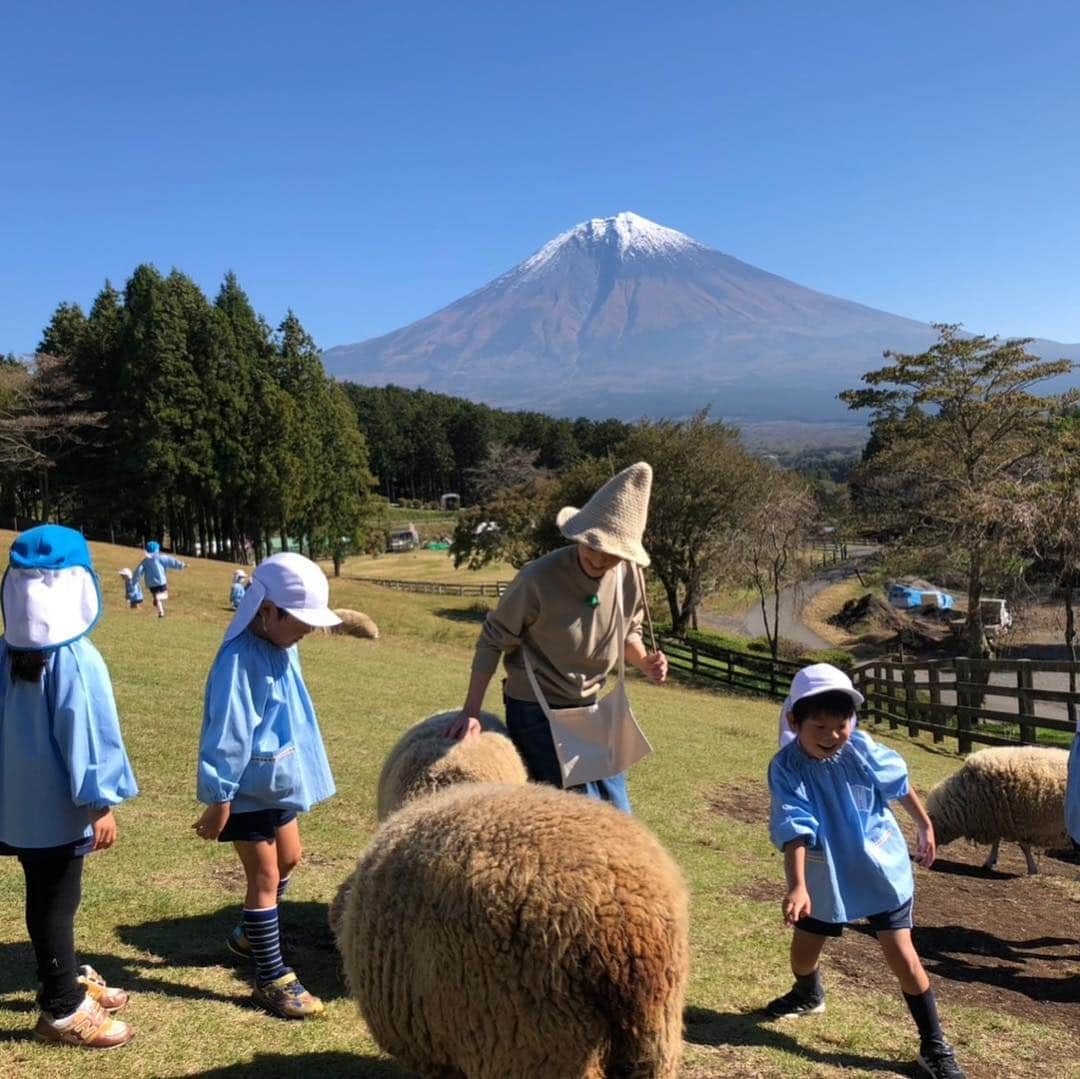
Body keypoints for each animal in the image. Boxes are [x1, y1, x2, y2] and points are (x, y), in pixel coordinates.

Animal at [924, 743, 1067, 877]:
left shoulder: (1018, 823)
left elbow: (1024, 847)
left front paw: (1032, 869)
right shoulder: (997, 819)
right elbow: (996, 842)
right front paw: (990, 862)